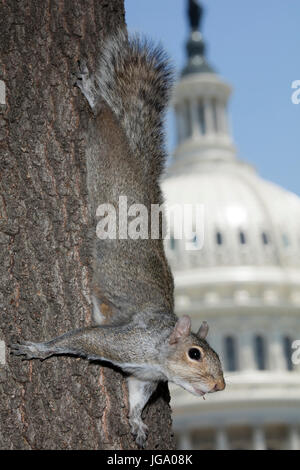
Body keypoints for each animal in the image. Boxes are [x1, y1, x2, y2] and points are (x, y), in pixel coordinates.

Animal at [9, 28, 225, 448]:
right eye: (194, 354)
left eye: (218, 358)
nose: (221, 386)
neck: (157, 353)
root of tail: (141, 172)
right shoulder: (121, 342)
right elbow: (80, 339)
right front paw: (39, 348)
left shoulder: (143, 377)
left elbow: (138, 397)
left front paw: (137, 422)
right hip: (107, 154)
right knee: (105, 118)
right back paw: (93, 92)